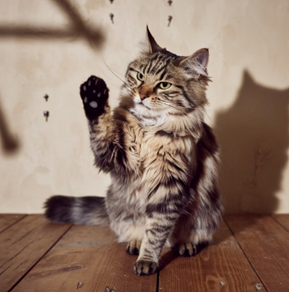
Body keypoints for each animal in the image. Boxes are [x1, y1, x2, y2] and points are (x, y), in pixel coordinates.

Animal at [45, 26, 222, 274]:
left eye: (164, 85)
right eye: (140, 76)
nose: (142, 94)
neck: (149, 129)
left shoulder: (170, 187)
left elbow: (156, 230)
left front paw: (147, 261)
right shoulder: (118, 157)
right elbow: (100, 130)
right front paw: (94, 99)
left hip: (207, 212)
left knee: (189, 236)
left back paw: (185, 245)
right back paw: (135, 242)